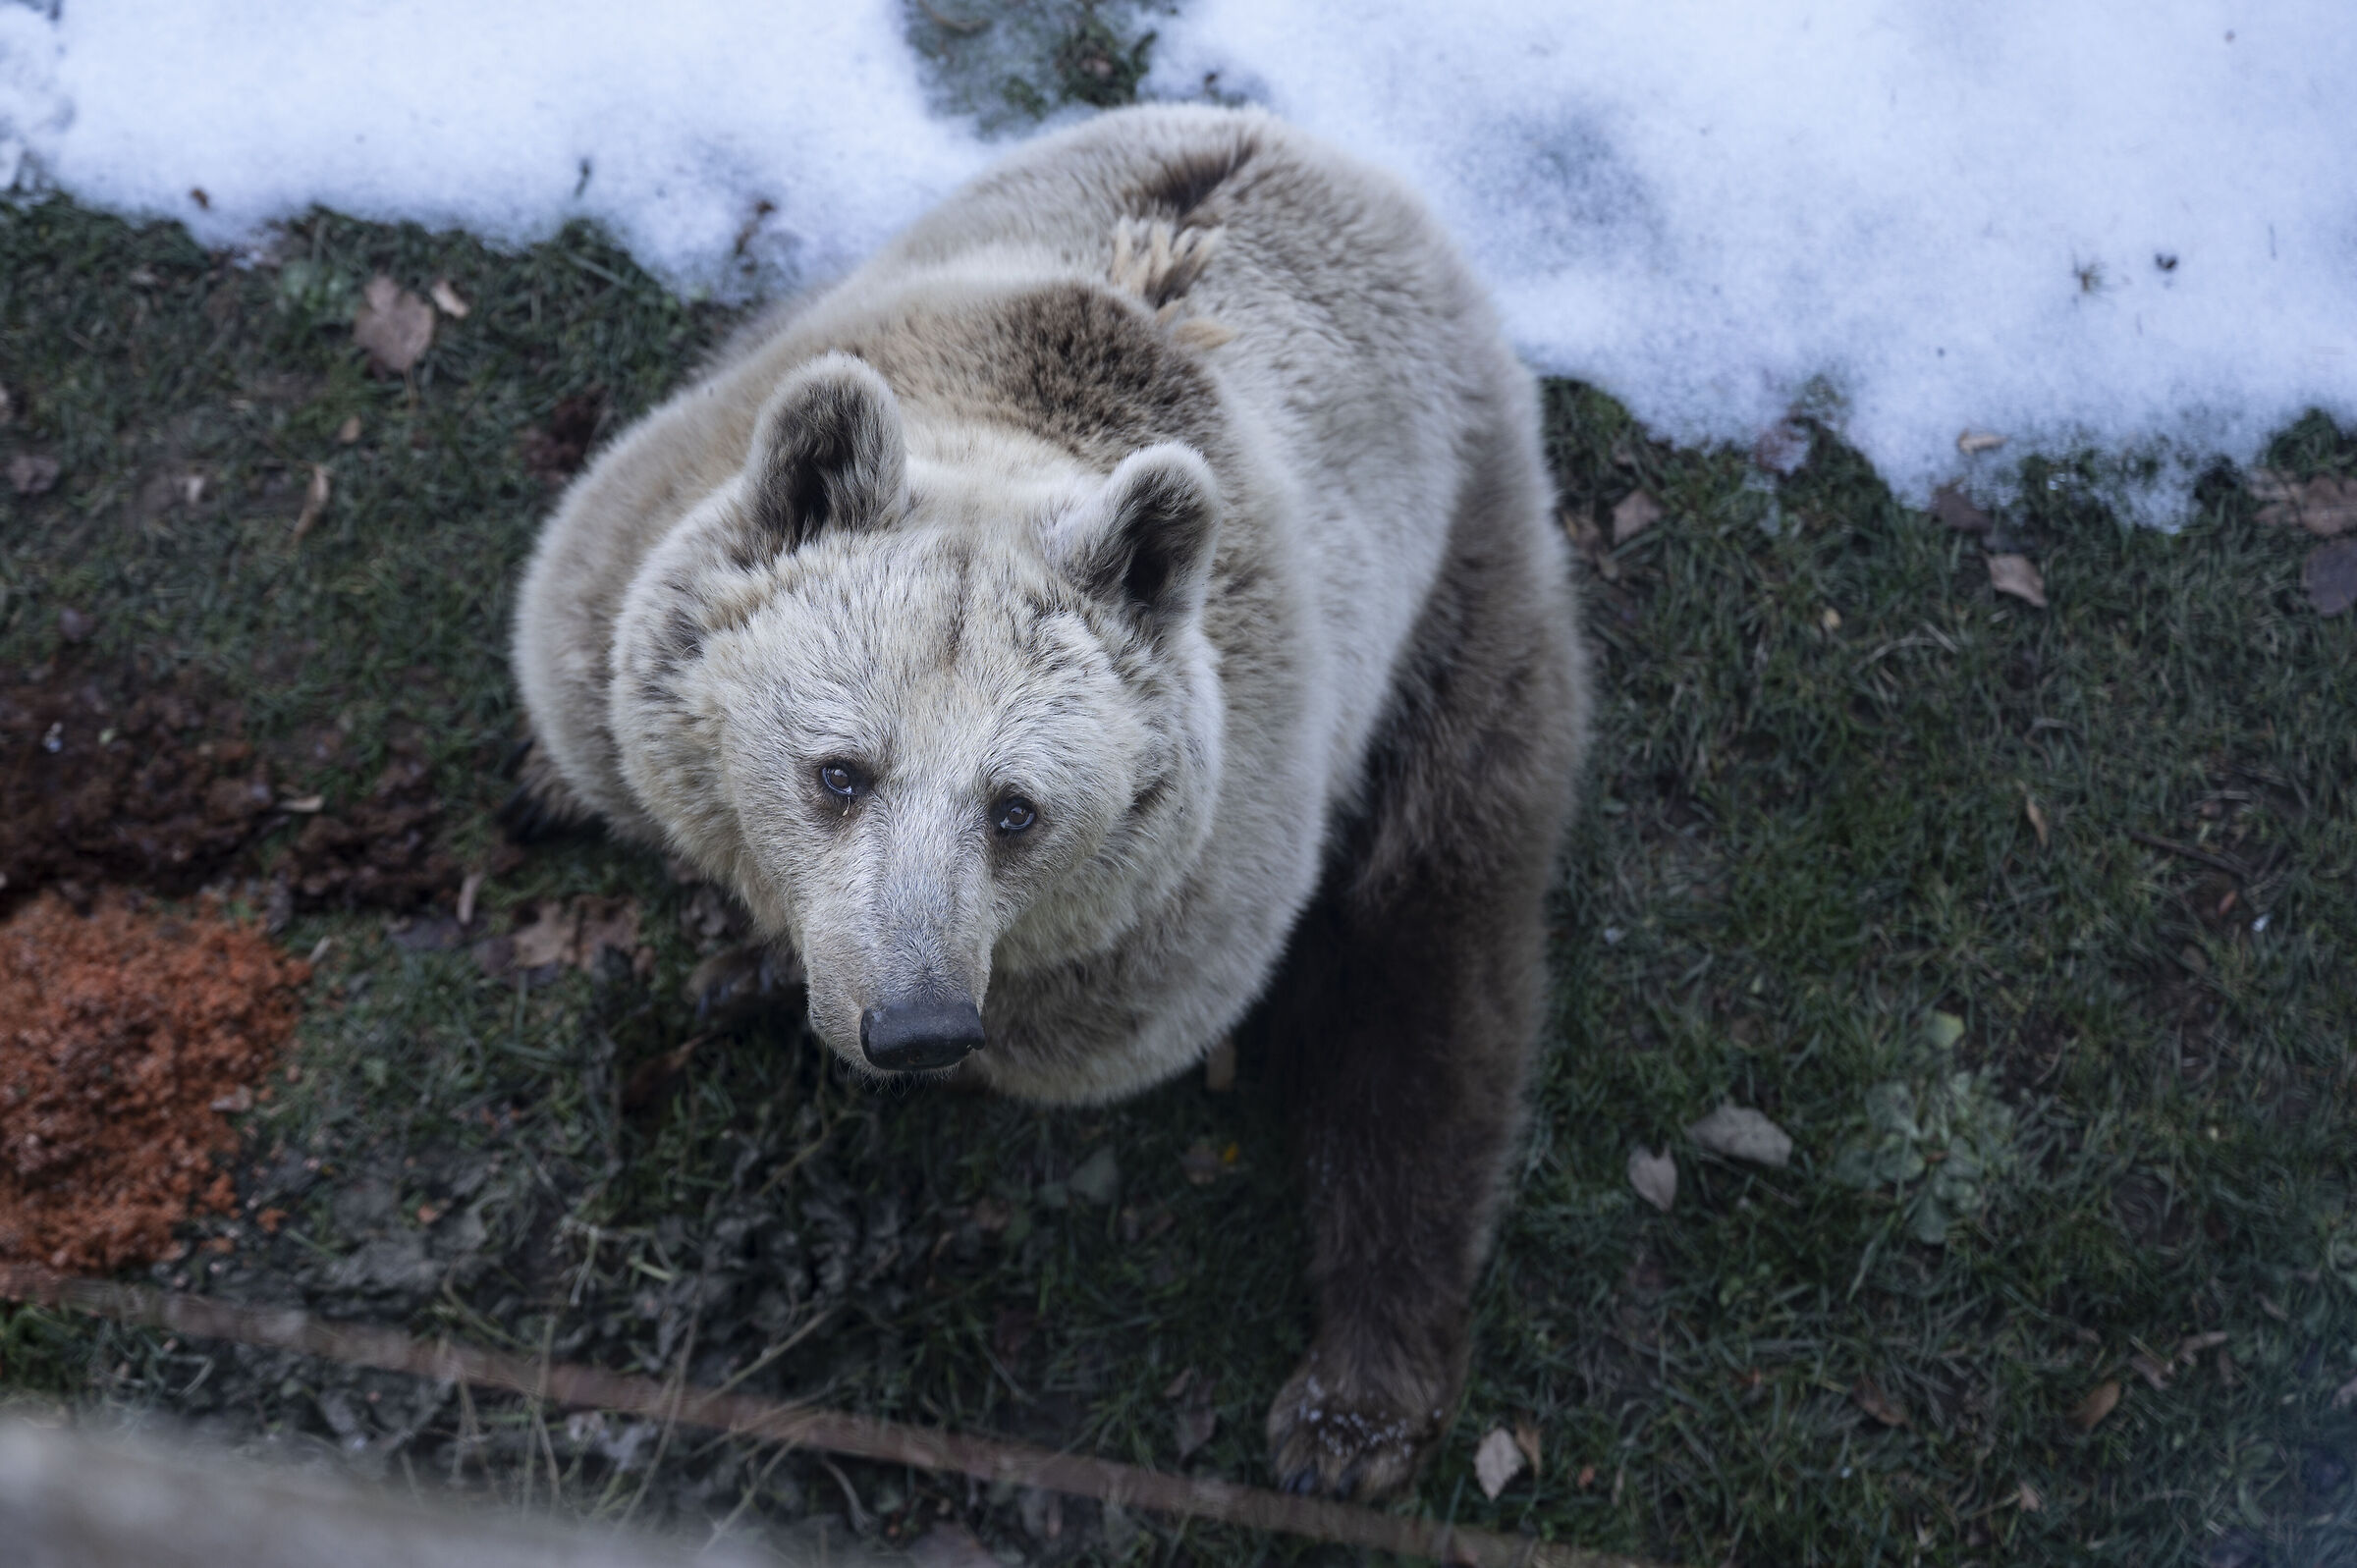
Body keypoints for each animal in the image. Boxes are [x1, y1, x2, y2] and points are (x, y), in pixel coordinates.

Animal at [507, 103, 1591, 1499]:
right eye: (840, 770)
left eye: (1014, 807)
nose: (916, 1022)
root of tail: (1315, 147)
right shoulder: (620, 585)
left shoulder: (1183, 892)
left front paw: (761, 982)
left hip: (1458, 601)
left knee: (1431, 981)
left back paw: (1355, 1401)